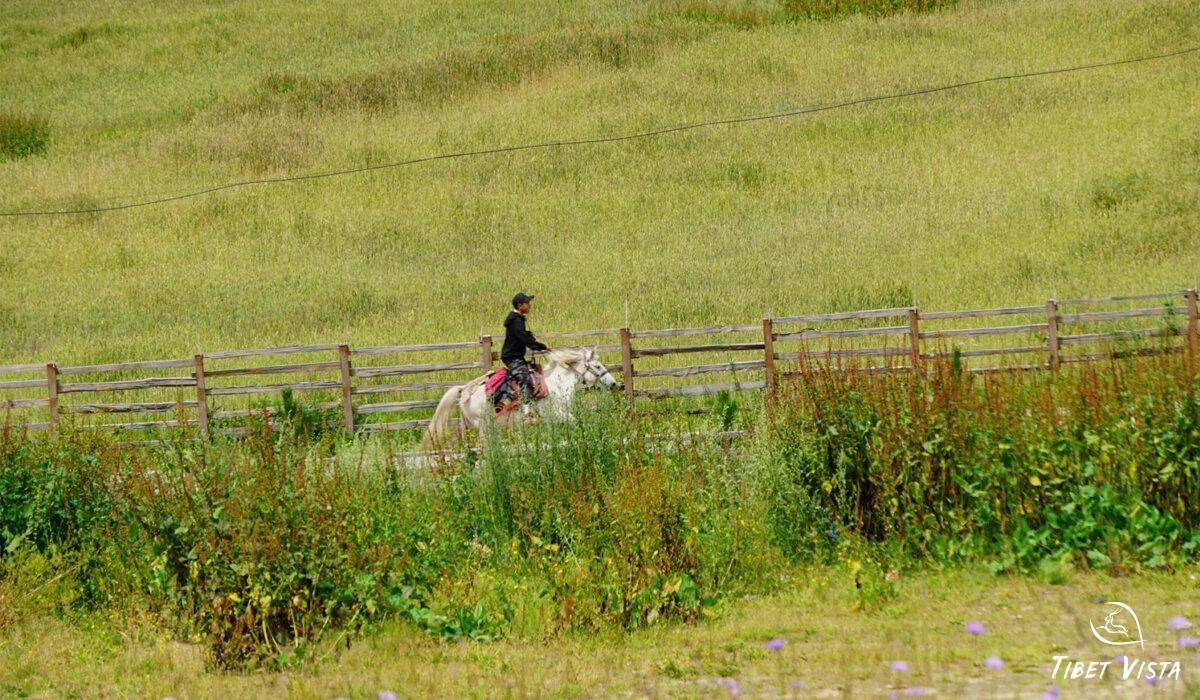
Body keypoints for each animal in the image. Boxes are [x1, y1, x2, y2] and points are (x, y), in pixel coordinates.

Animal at [425, 347, 622, 448]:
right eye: (597, 366)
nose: (614, 384)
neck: (557, 383)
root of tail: (465, 389)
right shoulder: (560, 414)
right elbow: (575, 423)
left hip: (468, 424)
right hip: (482, 425)